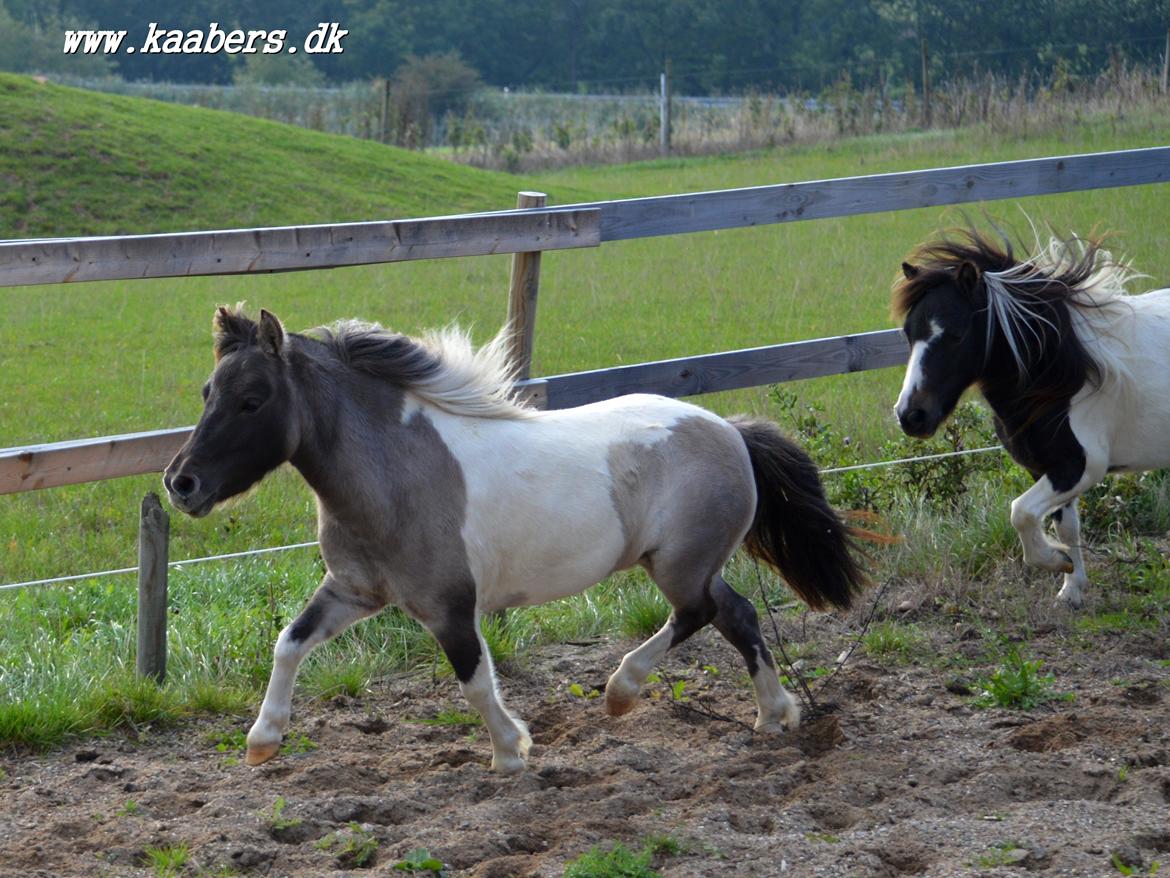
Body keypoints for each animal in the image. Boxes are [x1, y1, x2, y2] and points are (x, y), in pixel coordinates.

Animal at [162, 306, 861, 767]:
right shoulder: (354, 590)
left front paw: (510, 751)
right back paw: (773, 716)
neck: (394, 474)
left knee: (703, 613)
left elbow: (473, 679)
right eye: (207, 391)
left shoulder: (448, 606)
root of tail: (729, 431)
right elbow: (289, 642)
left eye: (252, 400)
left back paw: (624, 693)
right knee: (737, 615)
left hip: (679, 564)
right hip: (689, 562)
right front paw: (262, 741)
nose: (181, 483)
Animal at [889, 224, 1165, 613]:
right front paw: (1070, 586)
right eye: (908, 334)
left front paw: (1055, 560)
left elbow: (1020, 512)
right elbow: (1065, 526)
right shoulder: (1044, 468)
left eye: (956, 334)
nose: (911, 415)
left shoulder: (1081, 467)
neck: (1061, 377)